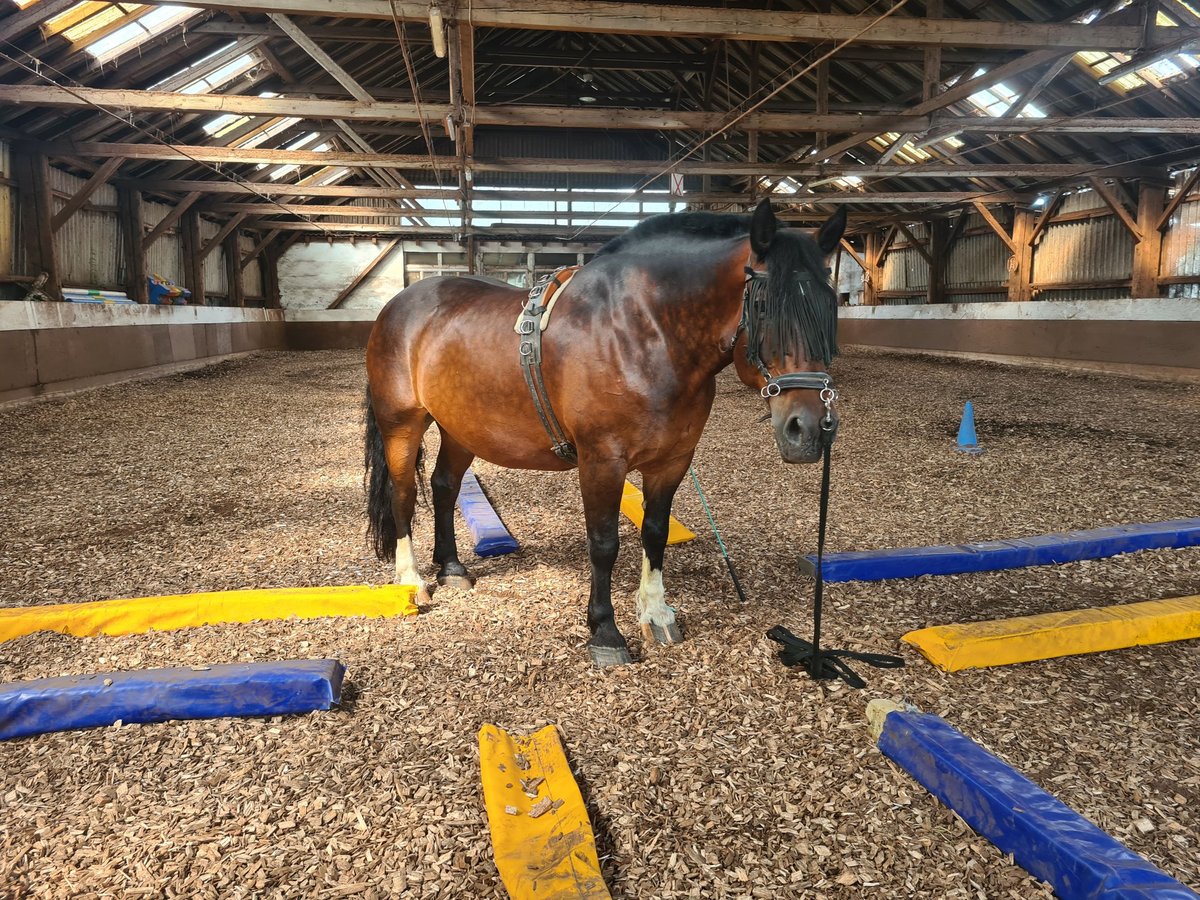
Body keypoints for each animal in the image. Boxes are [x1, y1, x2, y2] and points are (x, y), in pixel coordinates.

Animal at [364, 204, 844, 672]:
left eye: (830, 305)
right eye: (763, 307)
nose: (808, 429)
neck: (646, 331)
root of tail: (398, 305)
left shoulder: (672, 461)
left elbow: (654, 533)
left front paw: (656, 612)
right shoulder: (602, 461)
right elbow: (604, 544)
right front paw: (605, 631)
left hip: (460, 428)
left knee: (444, 486)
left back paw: (451, 567)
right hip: (402, 424)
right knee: (404, 493)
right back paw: (412, 580)